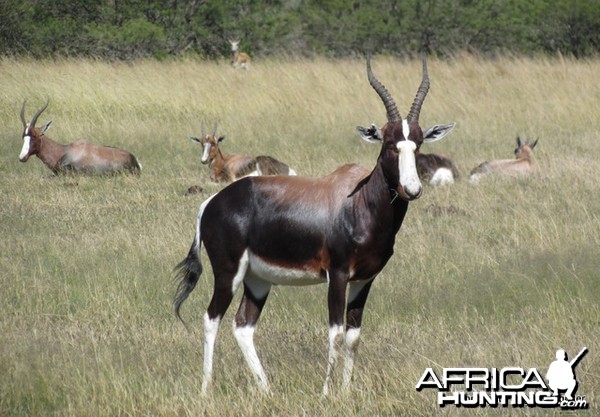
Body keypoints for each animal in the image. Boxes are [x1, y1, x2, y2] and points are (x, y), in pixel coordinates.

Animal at [173, 54, 450, 394]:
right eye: (388, 143)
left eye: (419, 143)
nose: (411, 189)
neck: (357, 200)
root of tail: (211, 203)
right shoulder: (338, 275)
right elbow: (336, 333)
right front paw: (327, 393)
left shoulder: (364, 280)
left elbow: (353, 337)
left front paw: (345, 392)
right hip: (229, 273)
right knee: (211, 318)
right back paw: (206, 389)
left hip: (257, 279)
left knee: (243, 325)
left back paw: (267, 390)